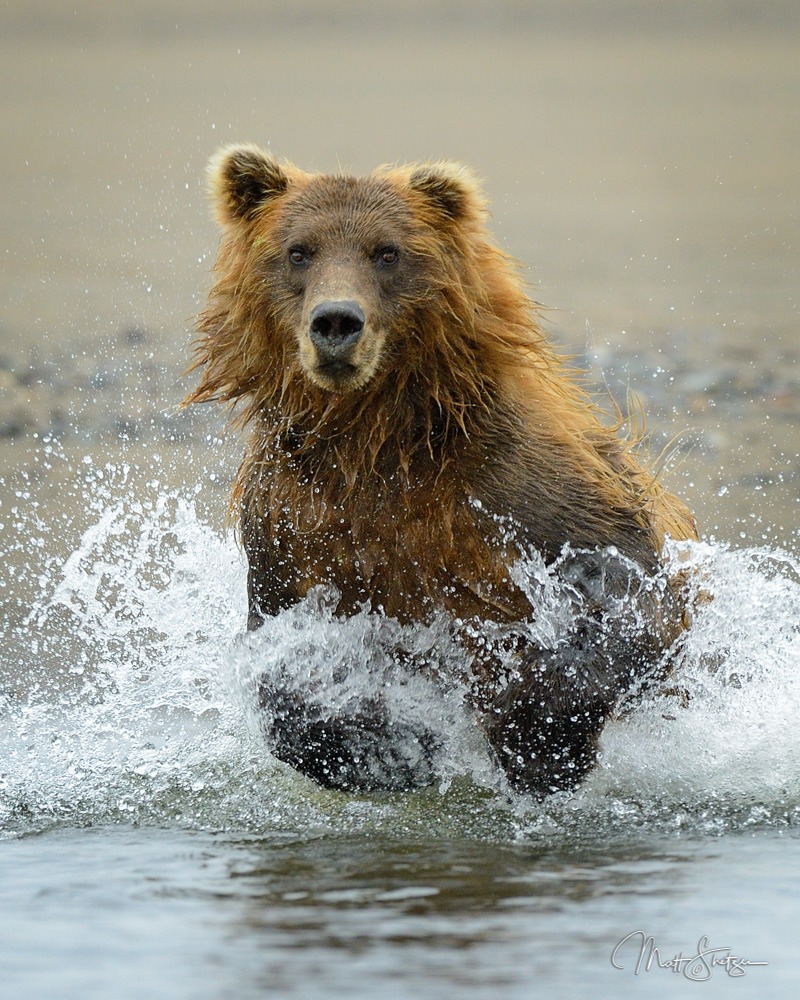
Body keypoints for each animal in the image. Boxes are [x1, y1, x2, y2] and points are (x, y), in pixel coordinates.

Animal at [184, 143, 696, 796]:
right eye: (298, 250)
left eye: (387, 252)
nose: (336, 321)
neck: (376, 443)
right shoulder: (293, 518)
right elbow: (285, 650)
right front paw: (376, 745)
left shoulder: (521, 489)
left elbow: (631, 597)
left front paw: (537, 730)